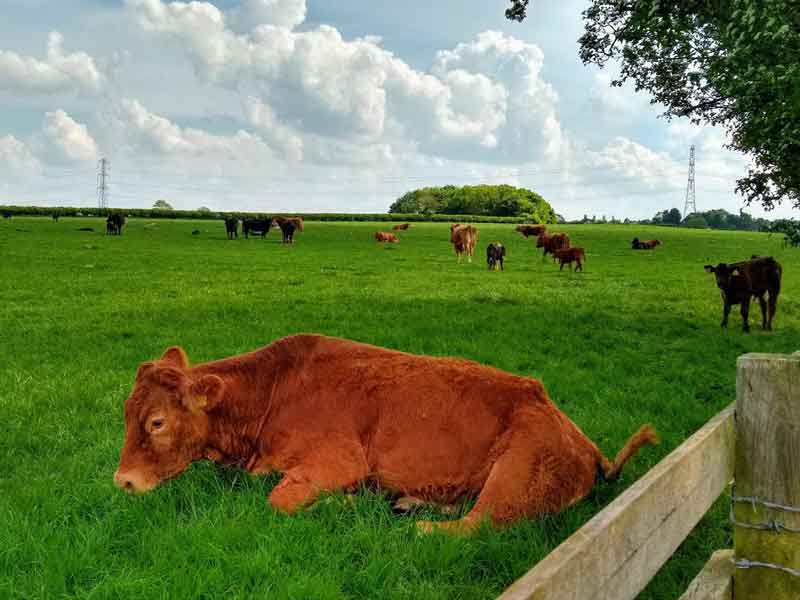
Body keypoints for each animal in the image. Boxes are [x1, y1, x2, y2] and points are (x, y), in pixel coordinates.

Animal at [113, 334, 659, 533]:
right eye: (126, 412)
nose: (123, 482)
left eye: (157, 422)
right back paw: (408, 503)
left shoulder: (337, 461)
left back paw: (411, 521)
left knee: (472, 527)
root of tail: (583, 443)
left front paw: (345, 504)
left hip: (517, 471)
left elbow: (278, 501)